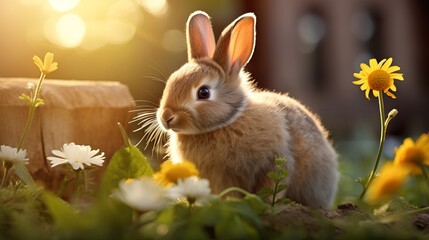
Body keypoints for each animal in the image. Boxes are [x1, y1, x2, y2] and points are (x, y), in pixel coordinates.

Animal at [154, 10, 338, 208]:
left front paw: (265, 204)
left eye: (203, 92)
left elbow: (272, 186)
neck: (227, 122)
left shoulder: (275, 161)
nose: (166, 117)